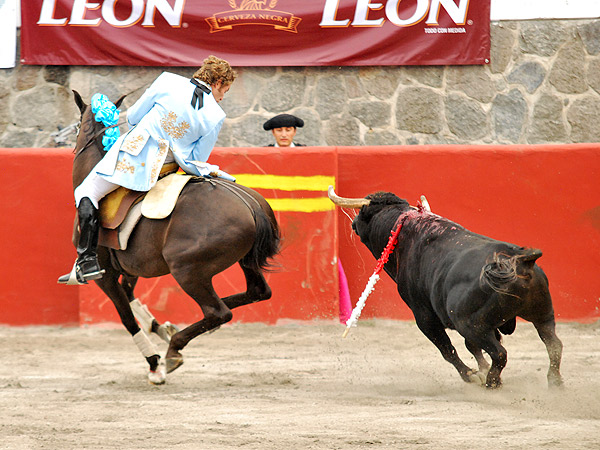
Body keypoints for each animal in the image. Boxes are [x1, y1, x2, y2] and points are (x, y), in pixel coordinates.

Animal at [69, 91, 280, 384]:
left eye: (77, 126)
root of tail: (250, 204)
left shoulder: (105, 276)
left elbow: (127, 318)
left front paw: (153, 364)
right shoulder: (132, 268)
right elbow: (130, 296)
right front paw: (159, 327)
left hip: (186, 270)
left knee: (218, 312)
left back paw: (173, 351)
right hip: (244, 262)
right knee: (256, 292)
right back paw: (183, 331)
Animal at [330, 188, 564, 388]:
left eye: (363, 213)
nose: (353, 223)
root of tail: (519, 259)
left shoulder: (424, 316)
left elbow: (447, 349)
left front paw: (471, 375)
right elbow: (471, 347)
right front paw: (480, 369)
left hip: (471, 323)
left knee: (499, 353)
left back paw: (492, 382)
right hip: (543, 313)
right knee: (554, 345)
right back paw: (554, 382)